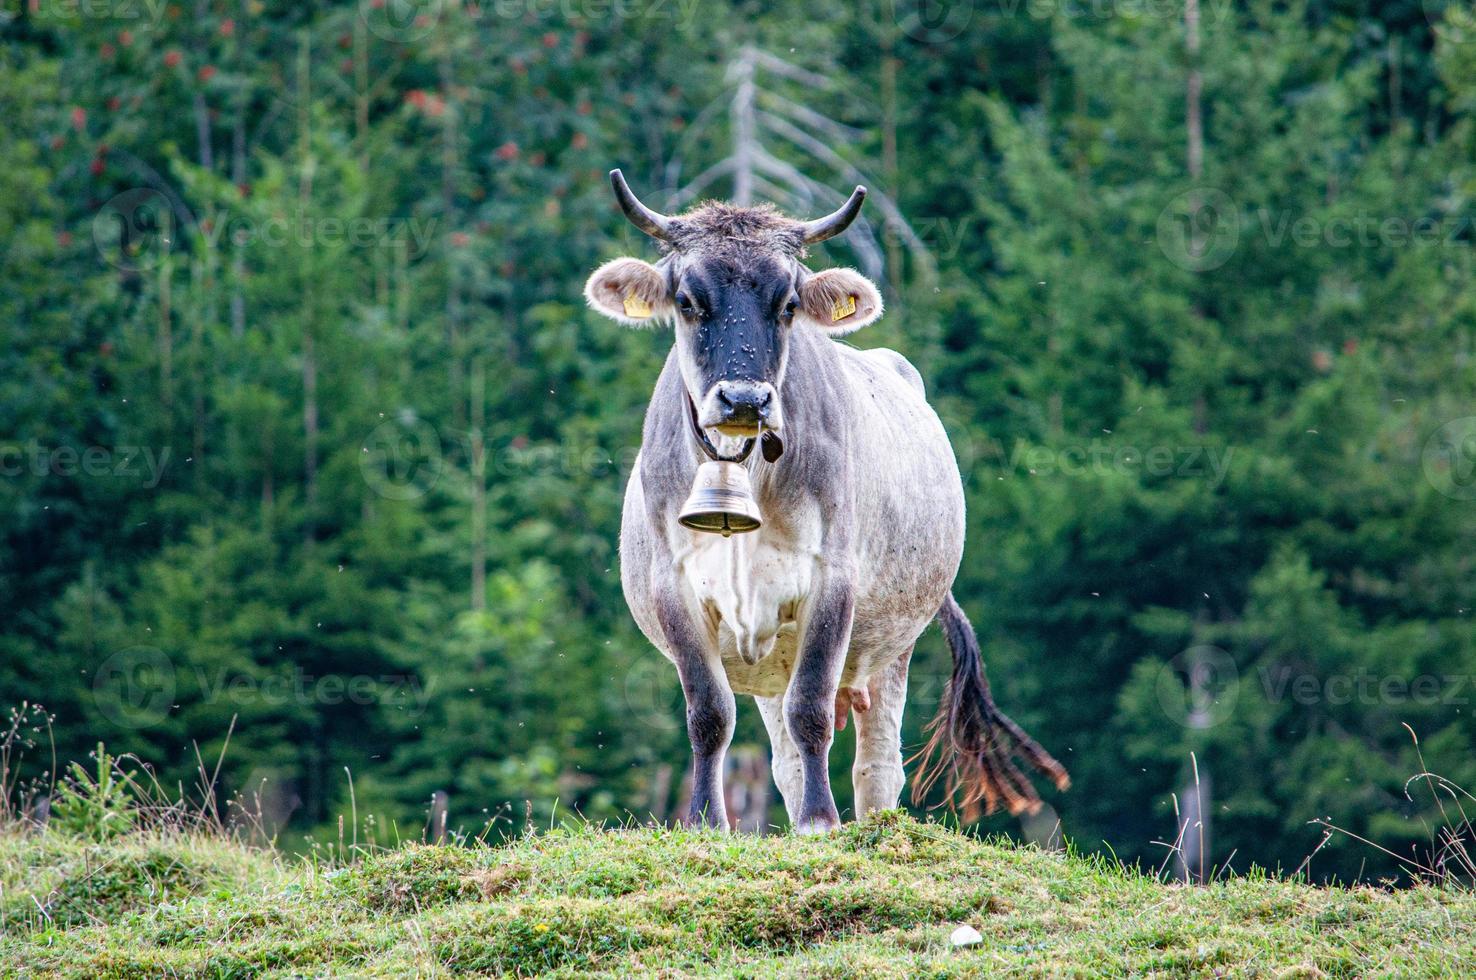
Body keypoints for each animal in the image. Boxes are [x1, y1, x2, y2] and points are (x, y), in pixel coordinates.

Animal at [581, 171, 1068, 832]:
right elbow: (709, 715)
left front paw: (820, 820)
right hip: (769, 658)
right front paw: (706, 820)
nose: (744, 400)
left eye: (788, 305)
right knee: (784, 755)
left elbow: (811, 708)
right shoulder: (672, 583)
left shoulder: (832, 580)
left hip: (893, 642)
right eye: (686, 302)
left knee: (877, 762)